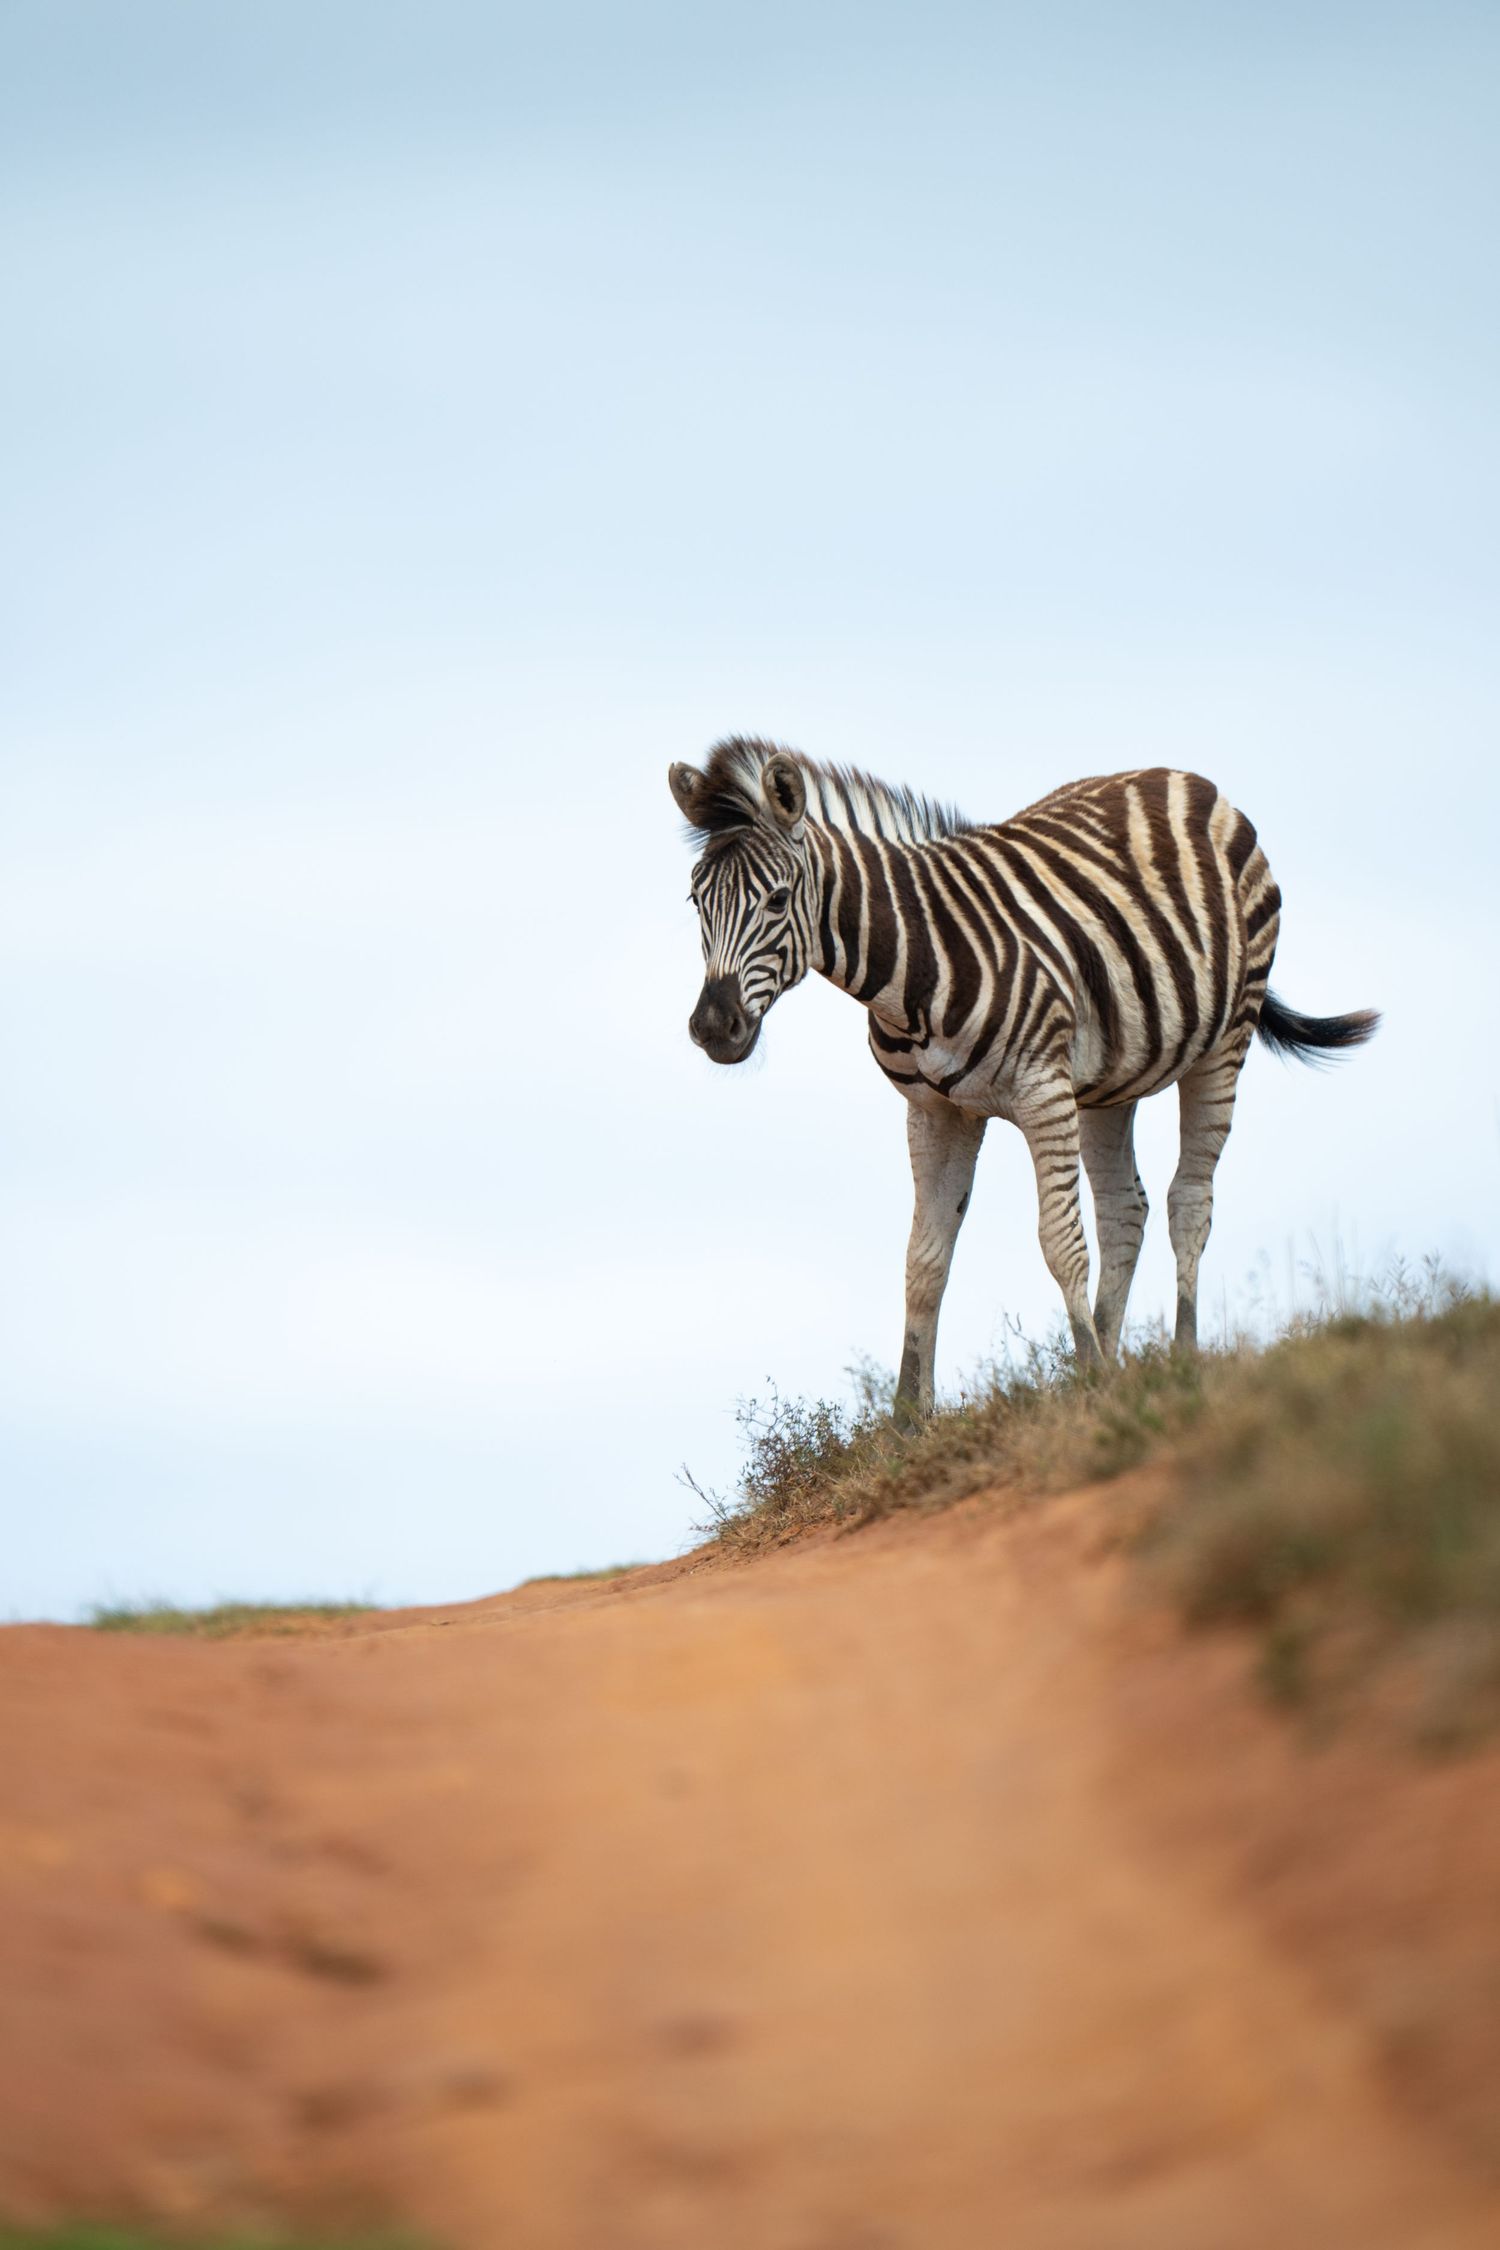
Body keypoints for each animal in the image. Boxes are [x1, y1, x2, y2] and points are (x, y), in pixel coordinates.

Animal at [670, 736, 1378, 1418]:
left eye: (777, 900)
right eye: (696, 901)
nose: (713, 1026)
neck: (912, 973)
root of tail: (1181, 776)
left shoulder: (1042, 1092)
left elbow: (1060, 1242)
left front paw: (1088, 1385)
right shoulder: (935, 1111)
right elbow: (924, 1259)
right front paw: (907, 1421)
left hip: (1223, 1042)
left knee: (1189, 1201)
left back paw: (1179, 1360)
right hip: (1107, 1084)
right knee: (1125, 1210)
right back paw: (1117, 1360)